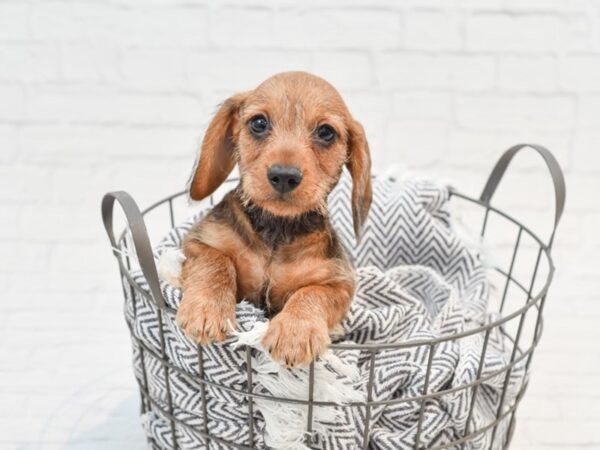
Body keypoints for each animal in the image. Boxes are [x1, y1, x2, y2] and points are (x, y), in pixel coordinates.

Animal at [177, 69, 370, 366]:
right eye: (259, 123)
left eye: (326, 132)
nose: (284, 176)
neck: (277, 231)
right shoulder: (199, 242)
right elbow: (217, 262)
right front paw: (207, 309)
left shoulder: (338, 283)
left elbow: (311, 293)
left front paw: (295, 330)